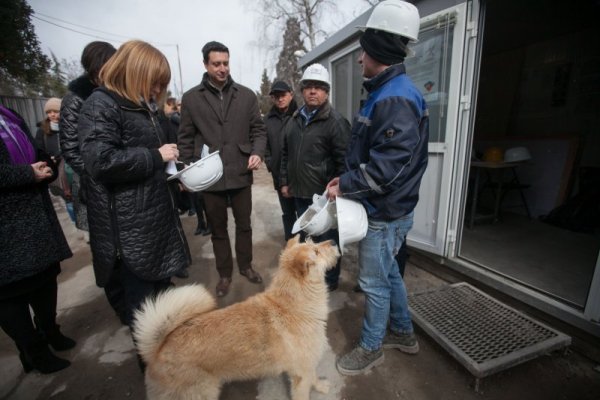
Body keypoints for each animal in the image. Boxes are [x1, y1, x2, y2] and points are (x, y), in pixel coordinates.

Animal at [134, 236, 340, 400]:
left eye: (314, 243)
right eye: (316, 251)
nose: (333, 241)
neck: (291, 305)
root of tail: (157, 350)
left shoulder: (307, 367)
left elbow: (314, 377)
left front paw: (320, 386)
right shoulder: (301, 373)